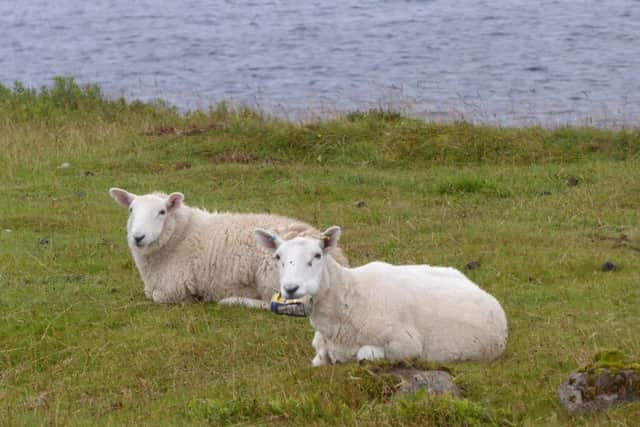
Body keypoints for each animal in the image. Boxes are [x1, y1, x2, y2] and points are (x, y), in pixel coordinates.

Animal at [110, 189, 350, 306]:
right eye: (131, 210)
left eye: (162, 212)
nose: (138, 237)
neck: (180, 236)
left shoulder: (174, 288)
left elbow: (157, 297)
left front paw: (195, 298)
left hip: (272, 276)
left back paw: (232, 300)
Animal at [252, 226, 508, 366]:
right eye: (277, 256)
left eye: (317, 255)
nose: (290, 288)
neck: (349, 295)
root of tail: (479, 289)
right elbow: (319, 359)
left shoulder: (406, 345)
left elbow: (364, 355)